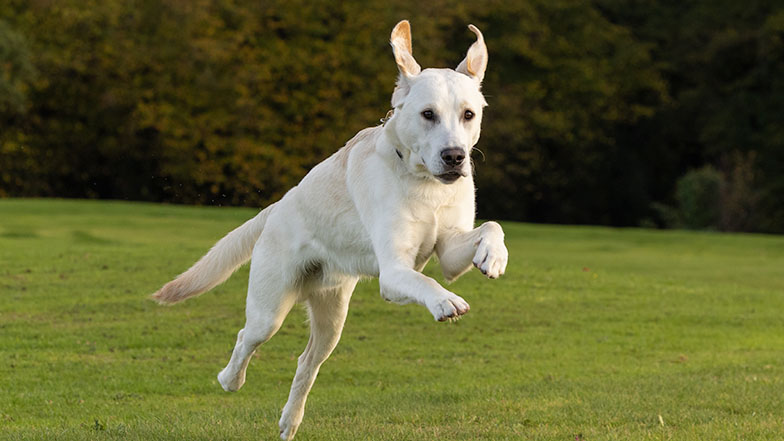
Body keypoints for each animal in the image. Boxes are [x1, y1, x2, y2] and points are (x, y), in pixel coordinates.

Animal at [152, 18, 508, 438]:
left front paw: (493, 255)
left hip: (332, 319)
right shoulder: (394, 274)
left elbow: (491, 226)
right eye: (427, 114)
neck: (425, 184)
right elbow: (425, 281)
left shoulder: (450, 250)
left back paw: (289, 422)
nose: (454, 157)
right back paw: (230, 380)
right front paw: (444, 301)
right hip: (269, 310)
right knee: (247, 337)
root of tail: (278, 207)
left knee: (306, 364)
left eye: (468, 115)